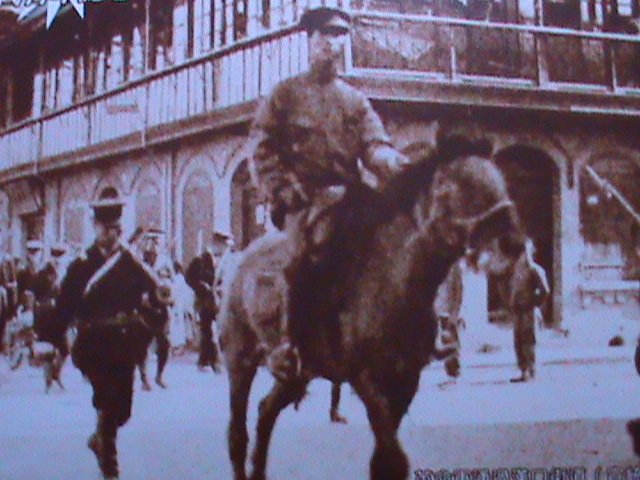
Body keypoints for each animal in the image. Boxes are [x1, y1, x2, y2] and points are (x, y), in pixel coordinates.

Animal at [216, 137, 524, 478]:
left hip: (297, 373)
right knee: (237, 433)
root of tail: (241, 260)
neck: (391, 277)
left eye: (501, 182)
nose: (513, 244)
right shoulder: (363, 377)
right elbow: (391, 455)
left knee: (265, 411)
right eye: (464, 186)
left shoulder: (406, 379)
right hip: (240, 360)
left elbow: (385, 459)